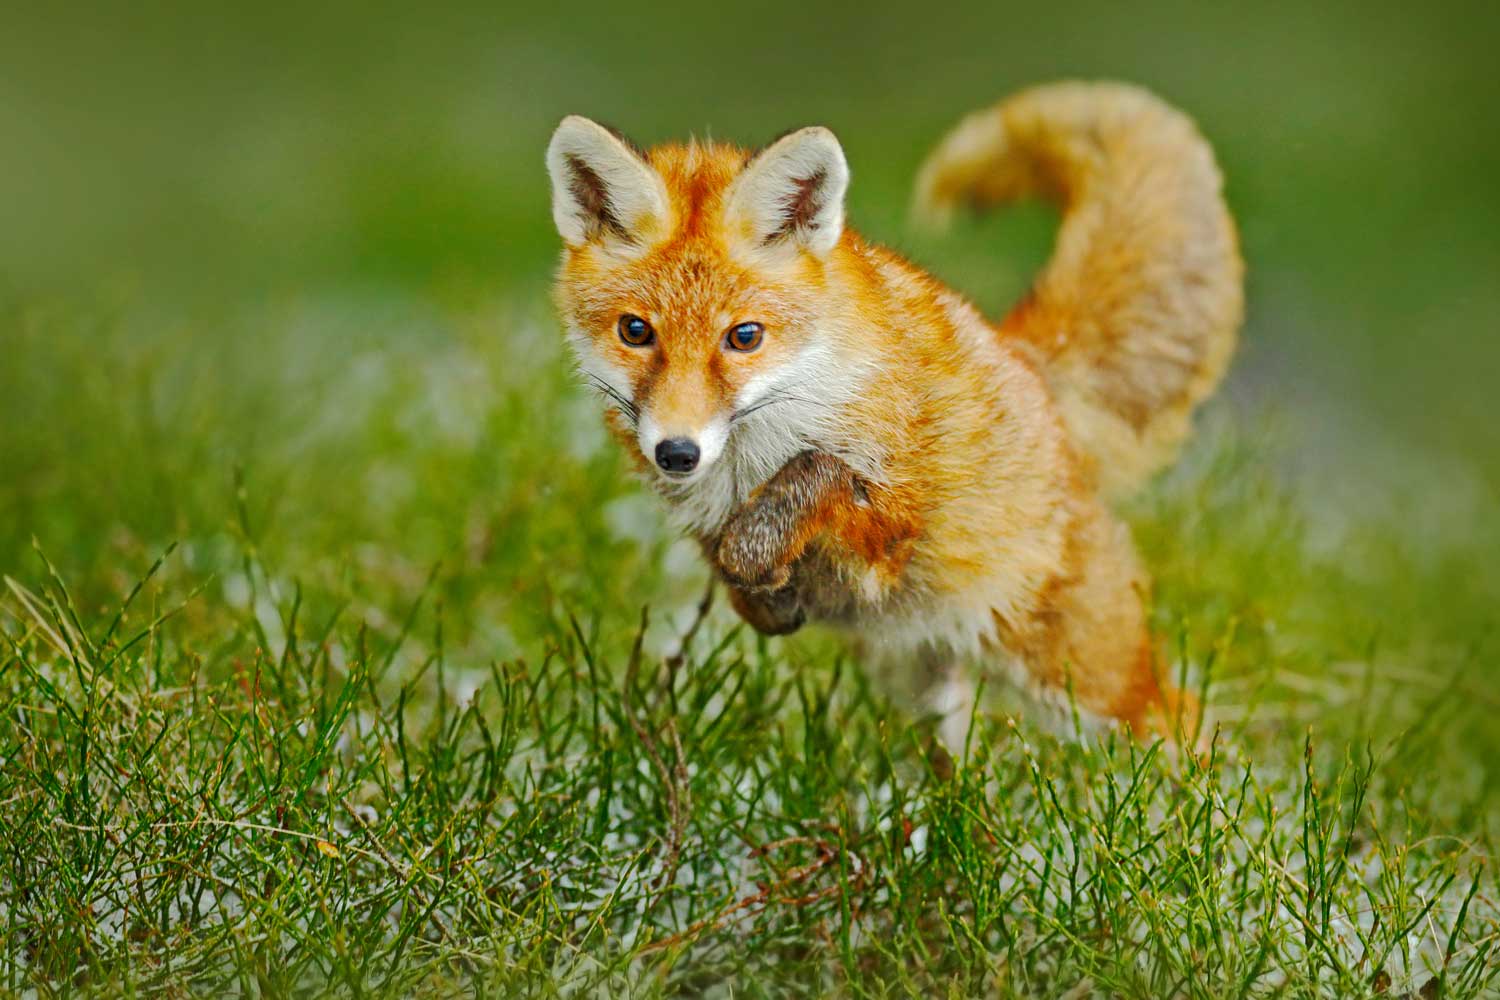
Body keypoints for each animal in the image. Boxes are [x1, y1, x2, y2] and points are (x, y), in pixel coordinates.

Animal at [546, 83, 1236, 743]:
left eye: (744, 337)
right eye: (636, 331)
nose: (677, 453)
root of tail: (1033, 371)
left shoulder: (893, 519)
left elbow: (812, 477)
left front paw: (763, 553)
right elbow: (733, 566)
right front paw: (765, 597)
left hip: (1083, 680)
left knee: (1184, 724)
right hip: (919, 682)